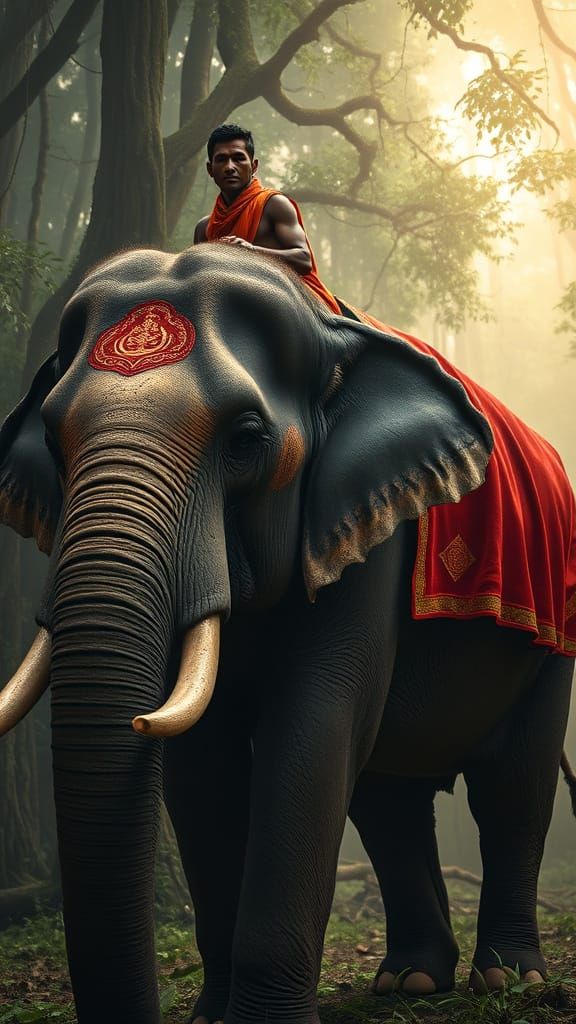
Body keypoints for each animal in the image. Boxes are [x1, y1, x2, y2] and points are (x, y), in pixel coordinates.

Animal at [0, 243, 574, 1024]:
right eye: (55, 446)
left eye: (246, 441)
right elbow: (202, 762)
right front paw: (212, 1017)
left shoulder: (368, 534)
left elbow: (312, 722)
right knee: (390, 801)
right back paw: (412, 981)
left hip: (555, 635)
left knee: (512, 786)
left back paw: (508, 979)